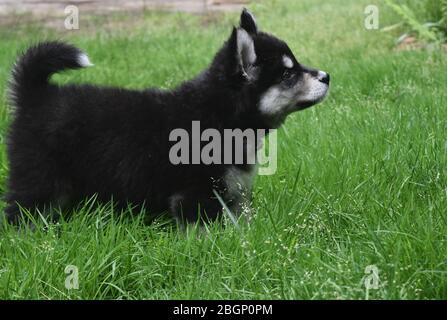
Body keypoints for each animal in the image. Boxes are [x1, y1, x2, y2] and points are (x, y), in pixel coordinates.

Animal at [4, 10, 328, 225]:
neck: (220, 115)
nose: (327, 76)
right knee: (22, 210)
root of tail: (36, 94)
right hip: (40, 178)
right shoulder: (195, 194)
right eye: (287, 74)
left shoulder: (234, 194)